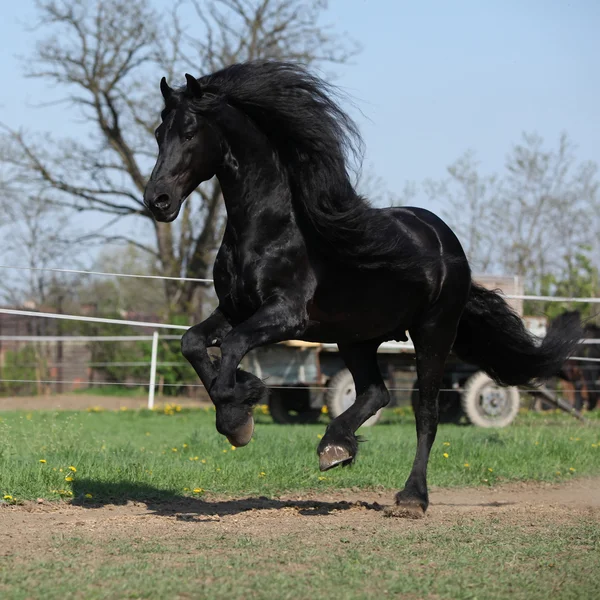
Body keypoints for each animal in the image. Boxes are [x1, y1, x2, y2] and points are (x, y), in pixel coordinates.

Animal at [143, 63, 584, 516]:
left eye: (190, 132)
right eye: (160, 133)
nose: (158, 200)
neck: (271, 230)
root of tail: (446, 242)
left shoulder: (285, 315)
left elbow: (231, 347)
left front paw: (238, 415)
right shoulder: (233, 309)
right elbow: (192, 342)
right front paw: (244, 398)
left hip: (433, 334)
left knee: (426, 414)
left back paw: (411, 498)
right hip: (355, 337)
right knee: (376, 392)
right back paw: (335, 447)